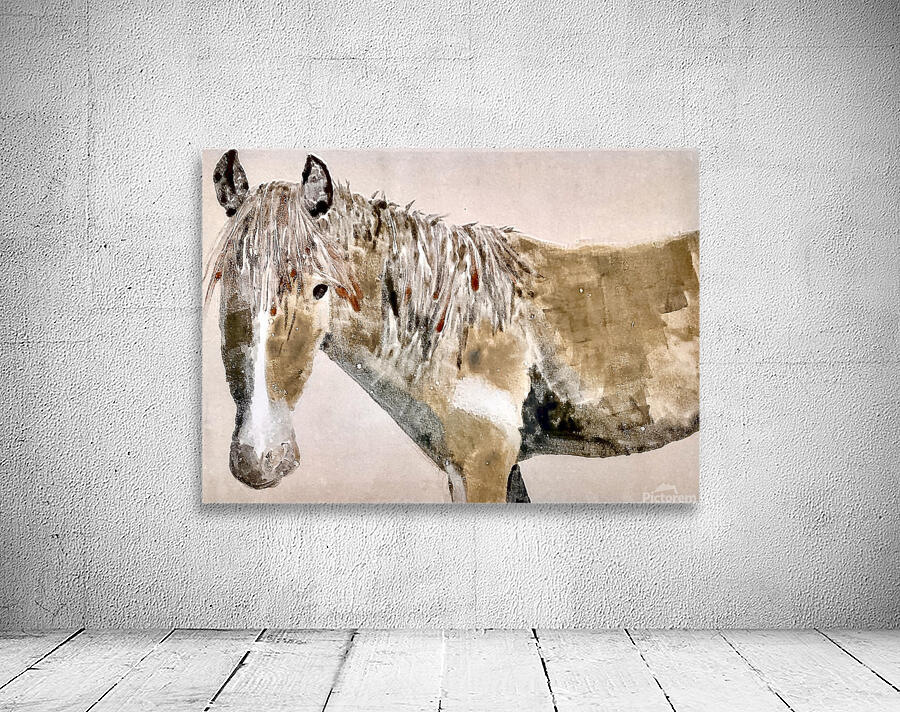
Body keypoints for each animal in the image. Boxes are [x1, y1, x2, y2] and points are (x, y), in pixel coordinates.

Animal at [204, 150, 699, 503]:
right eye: (226, 278)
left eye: (320, 288)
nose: (259, 459)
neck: (458, 328)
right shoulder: (485, 468)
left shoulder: (484, 463)